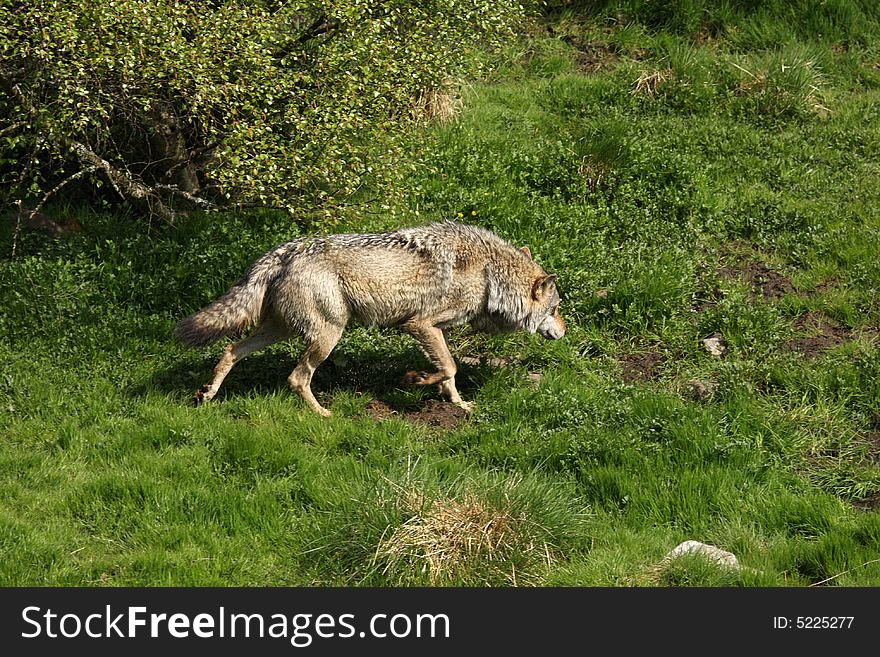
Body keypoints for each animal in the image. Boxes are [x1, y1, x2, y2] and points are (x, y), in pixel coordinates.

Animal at [175, 220, 568, 416]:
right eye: (556, 309)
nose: (565, 332)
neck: (490, 276)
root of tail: (283, 250)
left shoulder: (434, 331)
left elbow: (450, 374)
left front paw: (457, 404)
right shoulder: (420, 325)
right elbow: (450, 367)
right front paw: (415, 379)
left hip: (280, 331)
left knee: (230, 350)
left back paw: (207, 395)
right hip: (327, 335)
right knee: (296, 378)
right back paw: (324, 415)